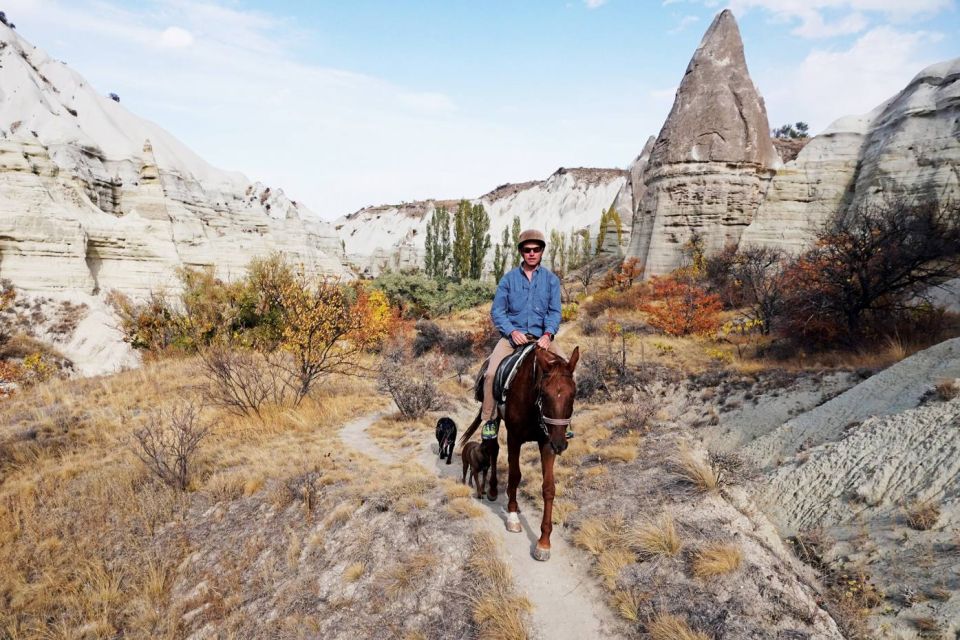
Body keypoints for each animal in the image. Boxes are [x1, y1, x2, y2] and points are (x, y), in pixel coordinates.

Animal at [458, 344, 576, 560]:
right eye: (544, 394)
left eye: (573, 394)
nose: (560, 444)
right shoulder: (514, 438)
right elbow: (514, 475)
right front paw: (512, 517)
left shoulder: (546, 442)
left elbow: (548, 488)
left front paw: (543, 542)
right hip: (494, 417)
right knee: (493, 449)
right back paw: (493, 490)